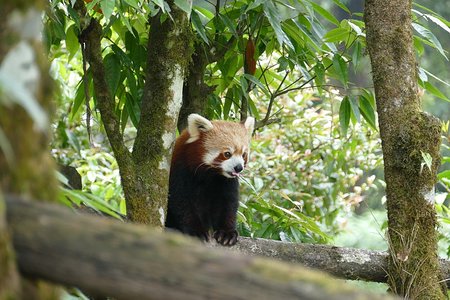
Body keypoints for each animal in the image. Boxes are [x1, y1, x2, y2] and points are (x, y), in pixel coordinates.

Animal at [167, 113, 255, 245]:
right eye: (227, 154)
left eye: (243, 154)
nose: (239, 167)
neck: (210, 173)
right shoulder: (180, 170)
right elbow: (181, 200)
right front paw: (196, 231)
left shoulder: (226, 181)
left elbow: (228, 203)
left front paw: (226, 232)